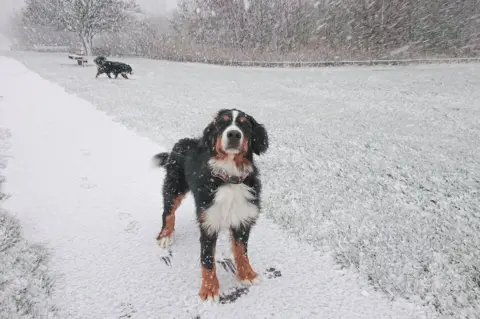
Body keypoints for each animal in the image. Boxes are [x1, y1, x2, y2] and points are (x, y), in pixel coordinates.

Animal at [152, 109, 268, 302]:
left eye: (245, 124)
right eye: (222, 123)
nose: (234, 134)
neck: (230, 179)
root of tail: (183, 141)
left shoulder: (242, 218)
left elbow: (242, 252)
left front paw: (247, 275)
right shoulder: (209, 221)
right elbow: (207, 260)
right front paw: (210, 289)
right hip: (175, 186)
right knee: (168, 212)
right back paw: (165, 236)